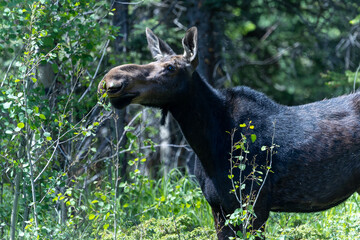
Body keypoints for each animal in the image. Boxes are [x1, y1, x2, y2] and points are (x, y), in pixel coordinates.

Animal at [98, 27, 360, 239]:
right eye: (152, 61)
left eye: (170, 67)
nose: (113, 80)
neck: (208, 145)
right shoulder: (217, 207)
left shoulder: (256, 206)